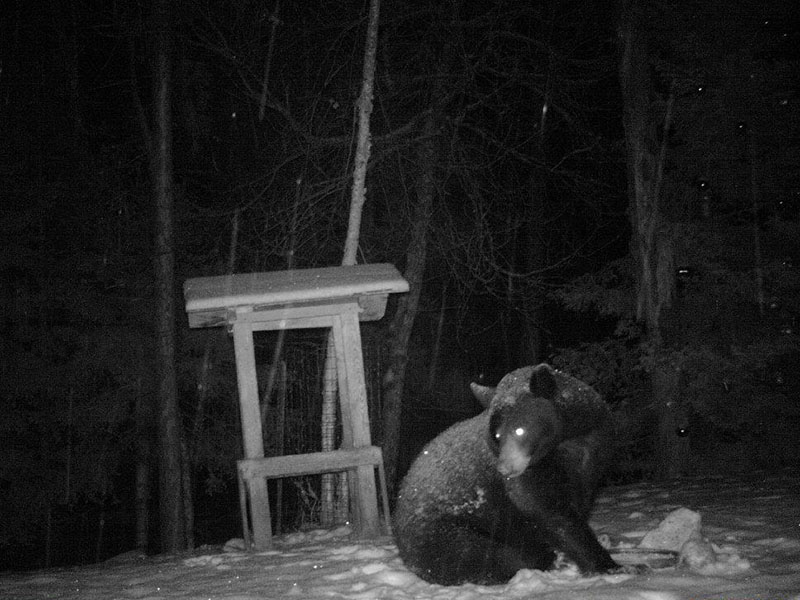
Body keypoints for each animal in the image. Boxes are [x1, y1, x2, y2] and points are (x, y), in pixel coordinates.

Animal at [393, 363, 619, 585]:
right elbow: (546, 509)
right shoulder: (529, 473)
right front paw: (607, 565)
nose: (504, 468)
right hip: (443, 533)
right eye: (497, 435)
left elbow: (576, 500)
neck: (565, 443)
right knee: (486, 555)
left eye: (520, 430)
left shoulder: (593, 451)